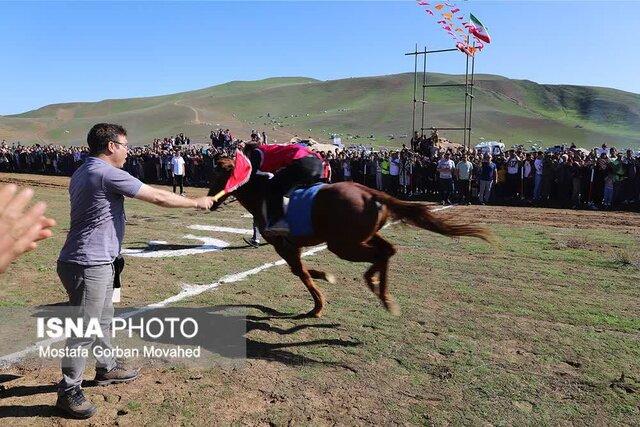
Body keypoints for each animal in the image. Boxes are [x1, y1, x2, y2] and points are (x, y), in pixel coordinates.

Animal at [208, 157, 492, 318]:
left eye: (219, 174)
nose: (210, 200)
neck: (262, 193)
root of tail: (370, 192)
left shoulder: (284, 246)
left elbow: (301, 273)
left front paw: (318, 305)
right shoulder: (292, 246)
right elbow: (302, 271)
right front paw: (324, 277)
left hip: (342, 245)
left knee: (380, 254)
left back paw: (374, 285)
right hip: (361, 237)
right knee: (388, 251)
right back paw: (382, 293)